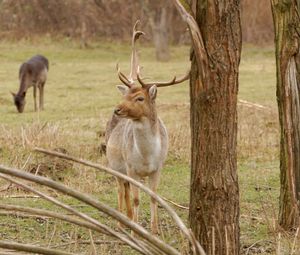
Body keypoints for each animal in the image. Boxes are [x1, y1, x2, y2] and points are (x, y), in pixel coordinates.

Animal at [106, 20, 190, 234]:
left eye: (140, 98)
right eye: (126, 95)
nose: (117, 109)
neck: (146, 156)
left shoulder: (158, 167)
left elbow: (154, 197)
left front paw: (154, 229)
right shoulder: (131, 167)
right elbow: (136, 199)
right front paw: (136, 229)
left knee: (126, 190)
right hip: (114, 164)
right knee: (121, 189)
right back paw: (121, 223)